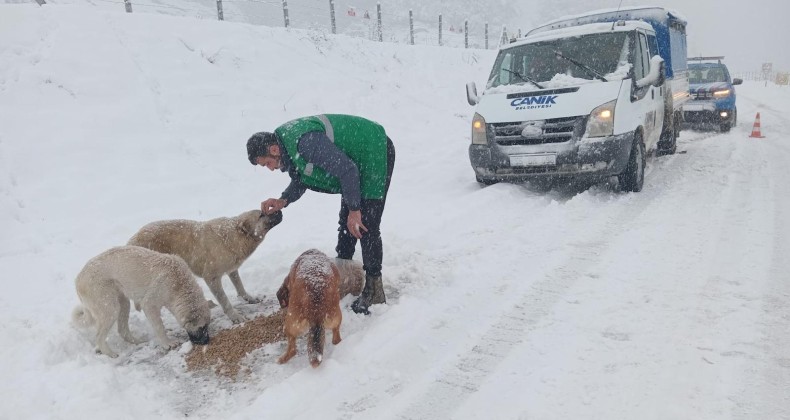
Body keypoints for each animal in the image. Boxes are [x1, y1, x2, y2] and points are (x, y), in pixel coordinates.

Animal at [71, 246, 212, 358]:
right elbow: (159, 327)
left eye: (207, 325)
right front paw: (167, 343)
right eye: (201, 327)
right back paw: (110, 354)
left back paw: (138, 341)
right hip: (110, 308)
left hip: (123, 303)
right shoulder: (150, 304)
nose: (207, 341)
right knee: (99, 336)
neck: (178, 284)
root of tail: (78, 278)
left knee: (122, 330)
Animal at [127, 209, 282, 322]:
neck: (232, 237)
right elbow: (225, 300)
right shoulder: (211, 278)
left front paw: (249, 298)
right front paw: (235, 316)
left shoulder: (232, 270)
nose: (280, 210)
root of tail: (130, 242)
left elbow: (240, 287)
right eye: (261, 214)